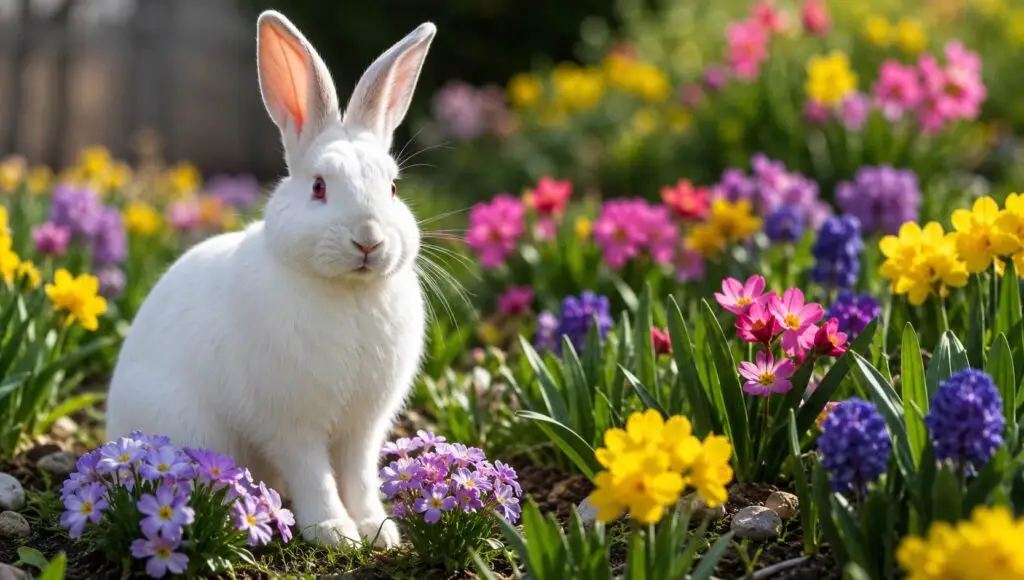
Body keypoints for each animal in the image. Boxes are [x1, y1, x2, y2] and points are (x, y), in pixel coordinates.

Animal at [105, 10, 436, 549]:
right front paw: (335, 533)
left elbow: (359, 475)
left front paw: (378, 531)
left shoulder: (363, 427)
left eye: (392, 188)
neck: (347, 292)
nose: (368, 240)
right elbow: (314, 474)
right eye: (319, 187)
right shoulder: (290, 423)